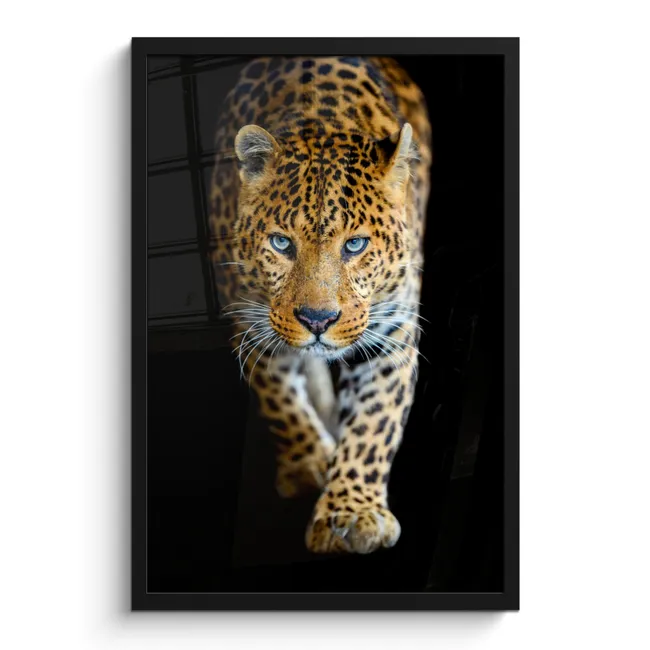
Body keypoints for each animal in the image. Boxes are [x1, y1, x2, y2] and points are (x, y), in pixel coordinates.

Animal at [209, 56, 432, 555]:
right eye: (281, 243)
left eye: (355, 245)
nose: (317, 320)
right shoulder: (248, 320)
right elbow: (278, 397)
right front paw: (307, 461)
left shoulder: (392, 337)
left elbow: (374, 426)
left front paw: (352, 512)